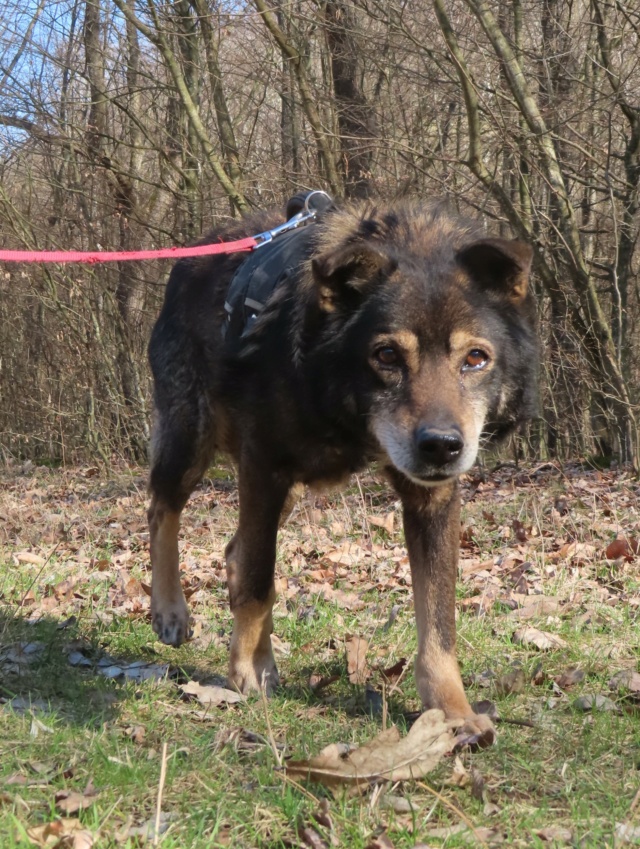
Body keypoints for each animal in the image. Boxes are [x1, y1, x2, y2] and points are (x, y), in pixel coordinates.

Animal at [148, 194, 536, 744]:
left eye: (476, 358)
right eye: (387, 355)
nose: (441, 447)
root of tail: (194, 253)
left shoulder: (432, 499)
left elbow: (439, 621)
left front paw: (453, 712)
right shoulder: (263, 463)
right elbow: (259, 579)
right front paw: (246, 668)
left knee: (233, 549)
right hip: (191, 437)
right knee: (163, 508)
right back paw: (171, 612)